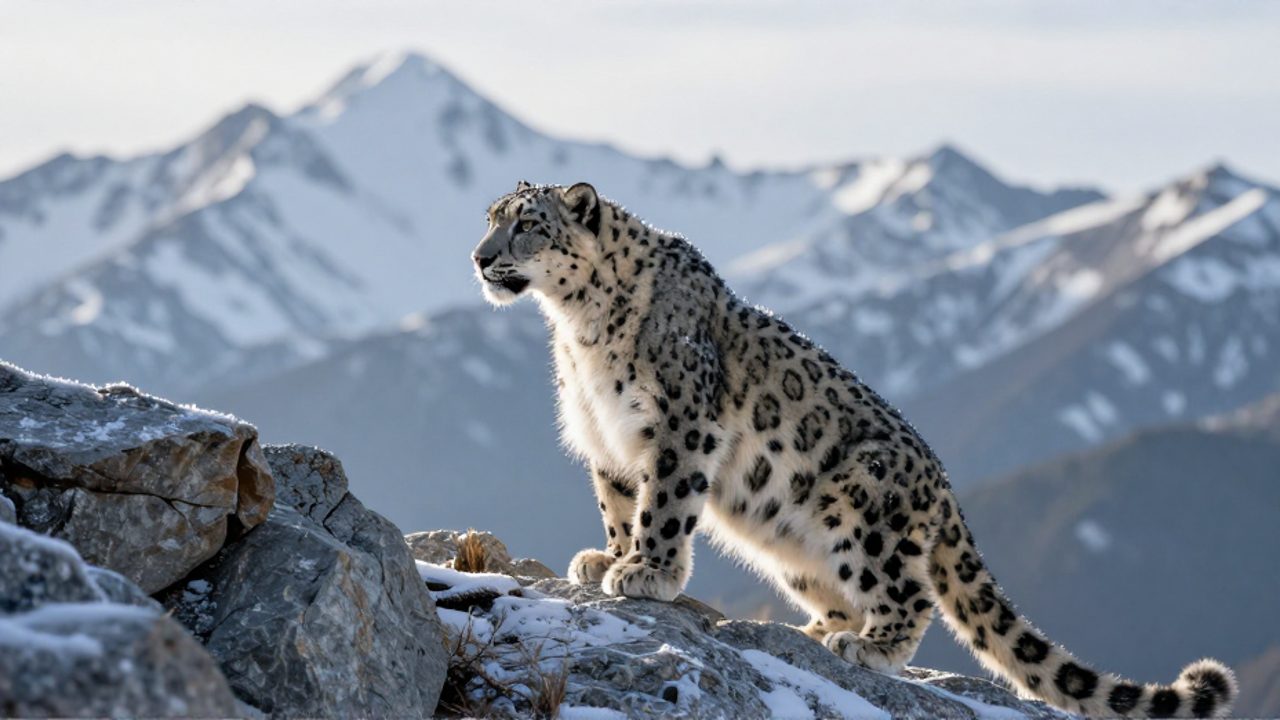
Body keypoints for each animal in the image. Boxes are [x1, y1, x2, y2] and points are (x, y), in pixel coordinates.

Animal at [470, 180, 1237, 718]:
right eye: (489, 217)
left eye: (528, 224)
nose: (479, 259)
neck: (579, 328)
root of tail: (944, 487)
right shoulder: (606, 437)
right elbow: (622, 503)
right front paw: (608, 556)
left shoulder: (681, 423)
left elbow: (664, 505)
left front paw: (646, 572)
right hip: (792, 547)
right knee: (843, 593)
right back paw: (813, 632)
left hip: (863, 503)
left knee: (909, 592)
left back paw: (868, 647)